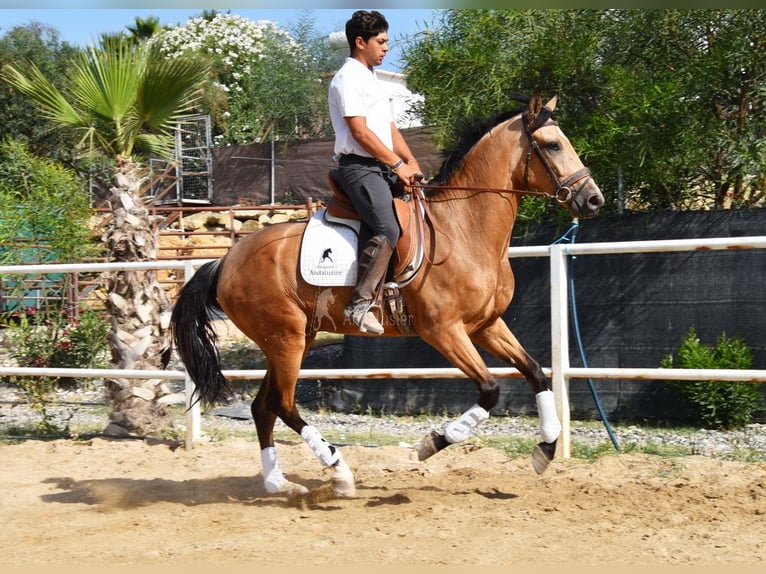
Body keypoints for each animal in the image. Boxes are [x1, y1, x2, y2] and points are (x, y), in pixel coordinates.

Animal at [170, 94, 608, 500]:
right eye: (552, 145)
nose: (594, 199)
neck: (464, 230)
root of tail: (225, 260)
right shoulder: (444, 332)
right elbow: (489, 389)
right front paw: (433, 443)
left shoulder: (485, 326)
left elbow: (535, 371)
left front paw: (546, 448)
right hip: (286, 339)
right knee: (283, 404)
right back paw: (339, 473)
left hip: (291, 340)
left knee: (263, 407)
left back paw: (279, 483)